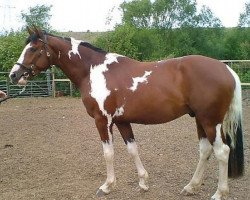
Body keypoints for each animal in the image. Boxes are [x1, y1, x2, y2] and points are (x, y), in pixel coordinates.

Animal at [8, 27, 243, 199]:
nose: (14, 74)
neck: (94, 71)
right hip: (200, 120)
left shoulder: (102, 121)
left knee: (222, 151)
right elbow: (132, 149)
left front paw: (107, 186)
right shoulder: (122, 121)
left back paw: (219, 193)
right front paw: (143, 182)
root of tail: (227, 69)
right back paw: (191, 186)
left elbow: (108, 153)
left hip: (210, 121)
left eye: (33, 49)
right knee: (205, 150)